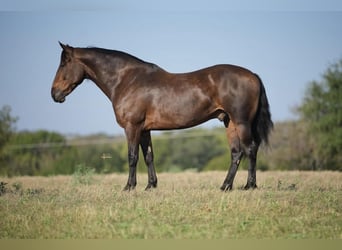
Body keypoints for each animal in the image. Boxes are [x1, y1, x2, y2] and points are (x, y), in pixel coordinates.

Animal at [50, 42, 272, 191]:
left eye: (64, 64)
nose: (54, 94)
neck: (127, 80)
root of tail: (252, 75)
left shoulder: (132, 127)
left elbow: (132, 156)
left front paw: (129, 187)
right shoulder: (144, 129)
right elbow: (148, 156)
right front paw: (150, 186)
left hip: (241, 122)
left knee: (250, 149)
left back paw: (249, 186)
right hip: (229, 122)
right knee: (236, 153)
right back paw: (225, 186)